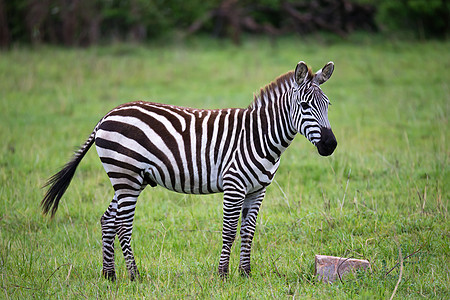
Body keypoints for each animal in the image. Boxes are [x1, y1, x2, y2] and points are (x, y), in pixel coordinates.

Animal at [42, 59, 336, 280]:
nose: (330, 145)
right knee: (123, 225)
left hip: (128, 179)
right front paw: (222, 275)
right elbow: (229, 230)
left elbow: (248, 231)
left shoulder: (258, 190)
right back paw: (134, 276)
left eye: (328, 105)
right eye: (305, 106)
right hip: (126, 176)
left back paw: (109, 275)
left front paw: (246, 274)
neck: (259, 136)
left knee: (108, 220)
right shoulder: (234, 185)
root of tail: (107, 115)